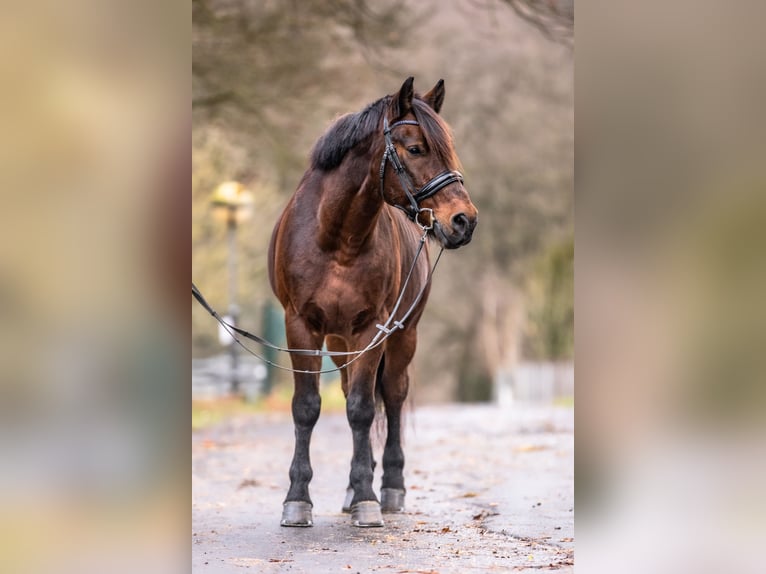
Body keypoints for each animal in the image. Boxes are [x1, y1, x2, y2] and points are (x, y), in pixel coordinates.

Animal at [268, 79, 476, 528]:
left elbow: (363, 410)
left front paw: (367, 498)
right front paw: (298, 500)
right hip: (339, 342)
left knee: (392, 397)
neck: (336, 237)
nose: (464, 221)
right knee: (351, 391)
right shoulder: (301, 326)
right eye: (415, 148)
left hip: (402, 337)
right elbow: (307, 407)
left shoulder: (372, 329)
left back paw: (390, 488)